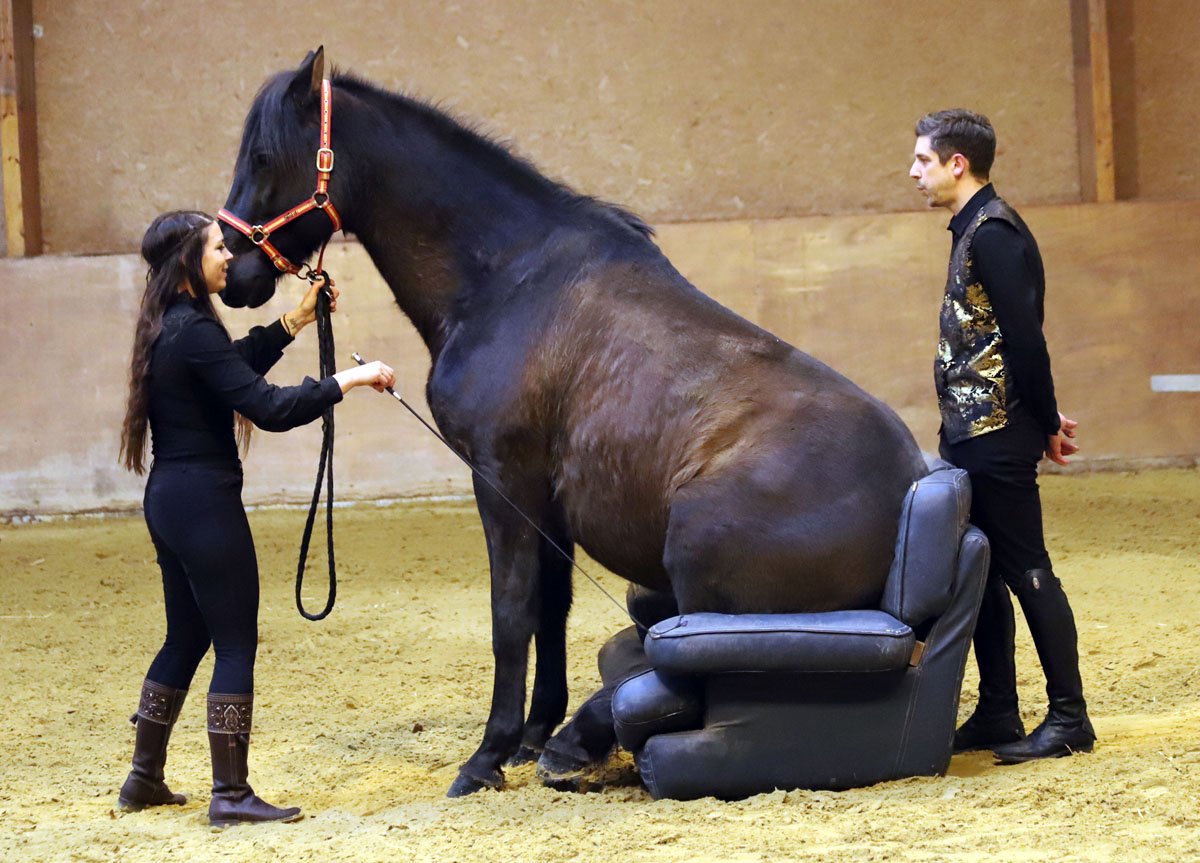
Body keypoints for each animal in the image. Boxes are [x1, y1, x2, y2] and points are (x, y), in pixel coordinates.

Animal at [219, 48, 928, 797]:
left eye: (264, 157)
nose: (232, 274)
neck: (509, 280)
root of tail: (915, 490)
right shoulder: (544, 503)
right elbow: (551, 608)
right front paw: (532, 731)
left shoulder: (502, 480)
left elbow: (511, 613)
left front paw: (489, 755)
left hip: (694, 542)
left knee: (682, 654)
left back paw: (578, 740)